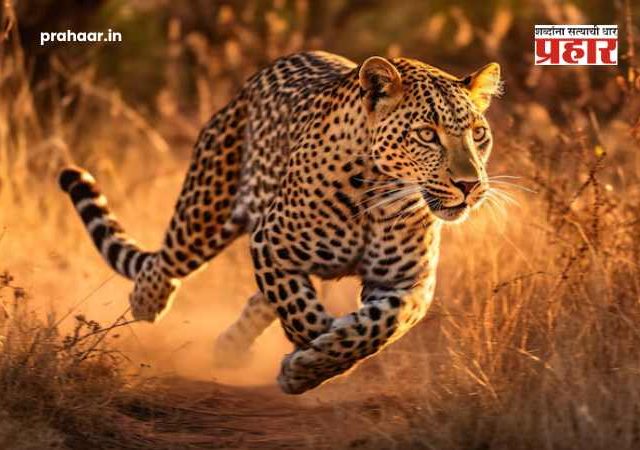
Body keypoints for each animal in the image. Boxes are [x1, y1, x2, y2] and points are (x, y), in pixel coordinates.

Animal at [59, 51, 501, 394]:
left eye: (479, 134)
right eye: (427, 134)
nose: (469, 185)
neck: (378, 196)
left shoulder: (408, 280)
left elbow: (382, 325)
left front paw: (316, 360)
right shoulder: (270, 244)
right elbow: (302, 311)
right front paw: (311, 356)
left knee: (258, 298)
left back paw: (230, 347)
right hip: (208, 210)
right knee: (164, 261)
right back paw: (147, 302)